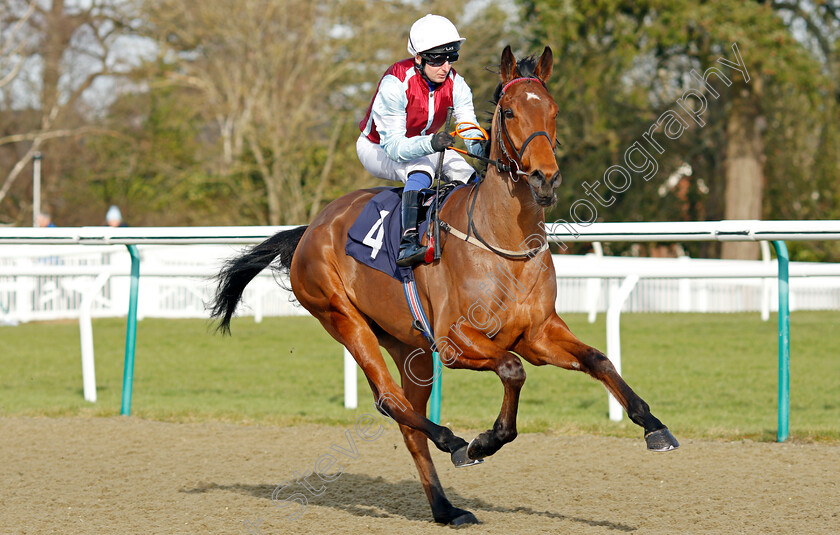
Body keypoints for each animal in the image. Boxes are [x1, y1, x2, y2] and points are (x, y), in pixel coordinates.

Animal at [213, 45, 680, 524]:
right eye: (509, 111)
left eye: (553, 110)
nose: (545, 179)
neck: (502, 242)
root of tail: (311, 228)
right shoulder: (455, 343)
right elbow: (512, 369)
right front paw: (483, 441)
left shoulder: (538, 332)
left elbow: (598, 359)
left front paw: (654, 426)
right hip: (342, 317)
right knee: (389, 399)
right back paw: (452, 442)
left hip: (409, 347)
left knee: (407, 418)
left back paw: (445, 507)